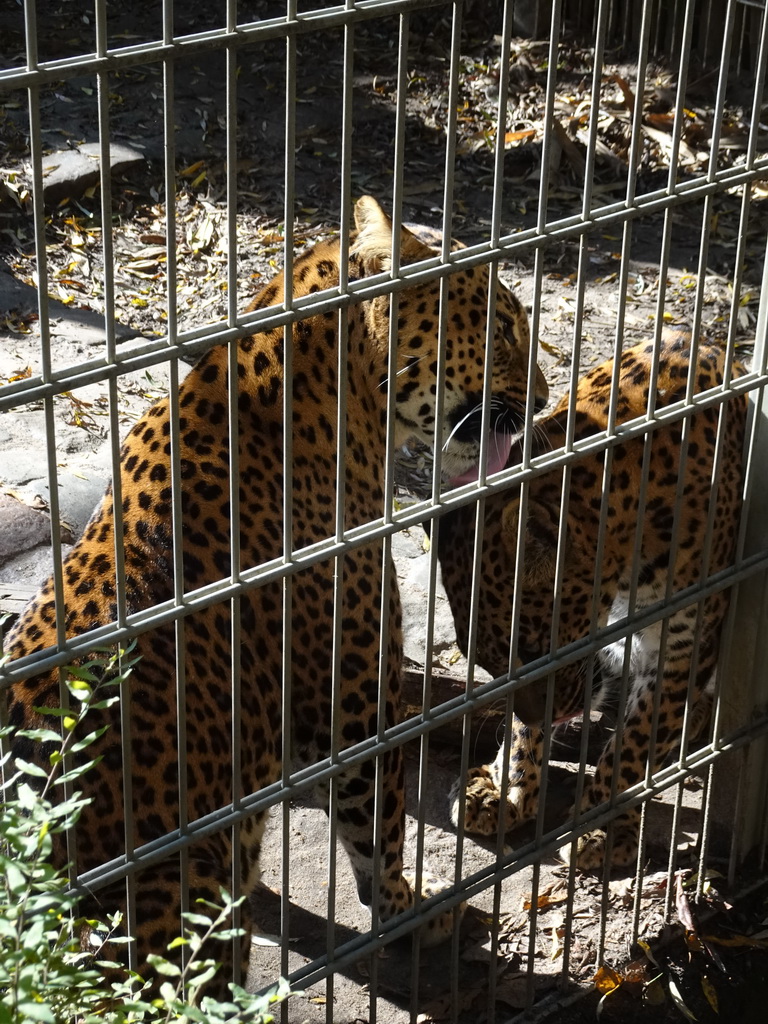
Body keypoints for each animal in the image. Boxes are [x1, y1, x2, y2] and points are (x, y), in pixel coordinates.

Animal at [436, 333, 749, 872]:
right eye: (490, 662)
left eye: (534, 649)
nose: (544, 719)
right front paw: (506, 787)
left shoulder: (681, 644)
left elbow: (635, 743)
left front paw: (600, 825)